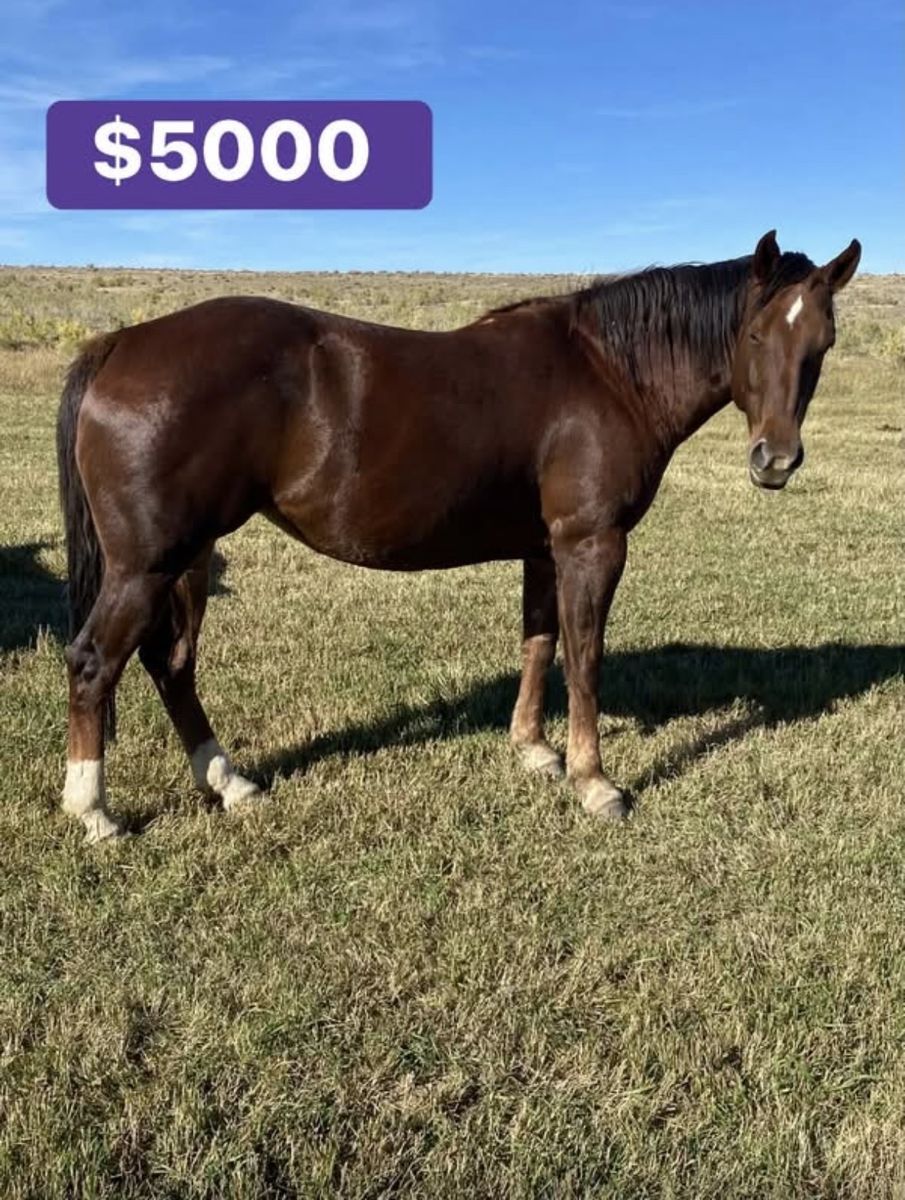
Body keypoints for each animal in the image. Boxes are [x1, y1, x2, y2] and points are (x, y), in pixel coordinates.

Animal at [56, 230, 860, 842]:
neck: (607, 372)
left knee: (171, 664)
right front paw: (594, 781)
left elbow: (540, 641)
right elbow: (585, 656)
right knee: (96, 662)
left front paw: (534, 751)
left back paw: (228, 781)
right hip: (147, 564)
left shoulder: (543, 548)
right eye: (753, 333)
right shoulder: (590, 544)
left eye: (823, 342)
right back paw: (94, 813)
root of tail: (121, 342)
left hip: (189, 559)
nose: (775, 460)